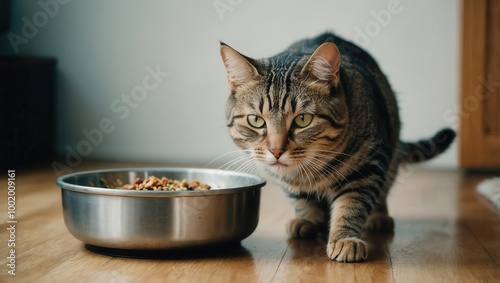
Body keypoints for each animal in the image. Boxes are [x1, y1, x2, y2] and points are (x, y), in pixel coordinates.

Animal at [221, 33, 456, 264]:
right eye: (256, 120)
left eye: (302, 120)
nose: (276, 150)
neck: (310, 172)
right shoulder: (284, 180)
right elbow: (301, 200)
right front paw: (308, 220)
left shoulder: (367, 167)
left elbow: (351, 205)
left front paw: (345, 239)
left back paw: (378, 216)